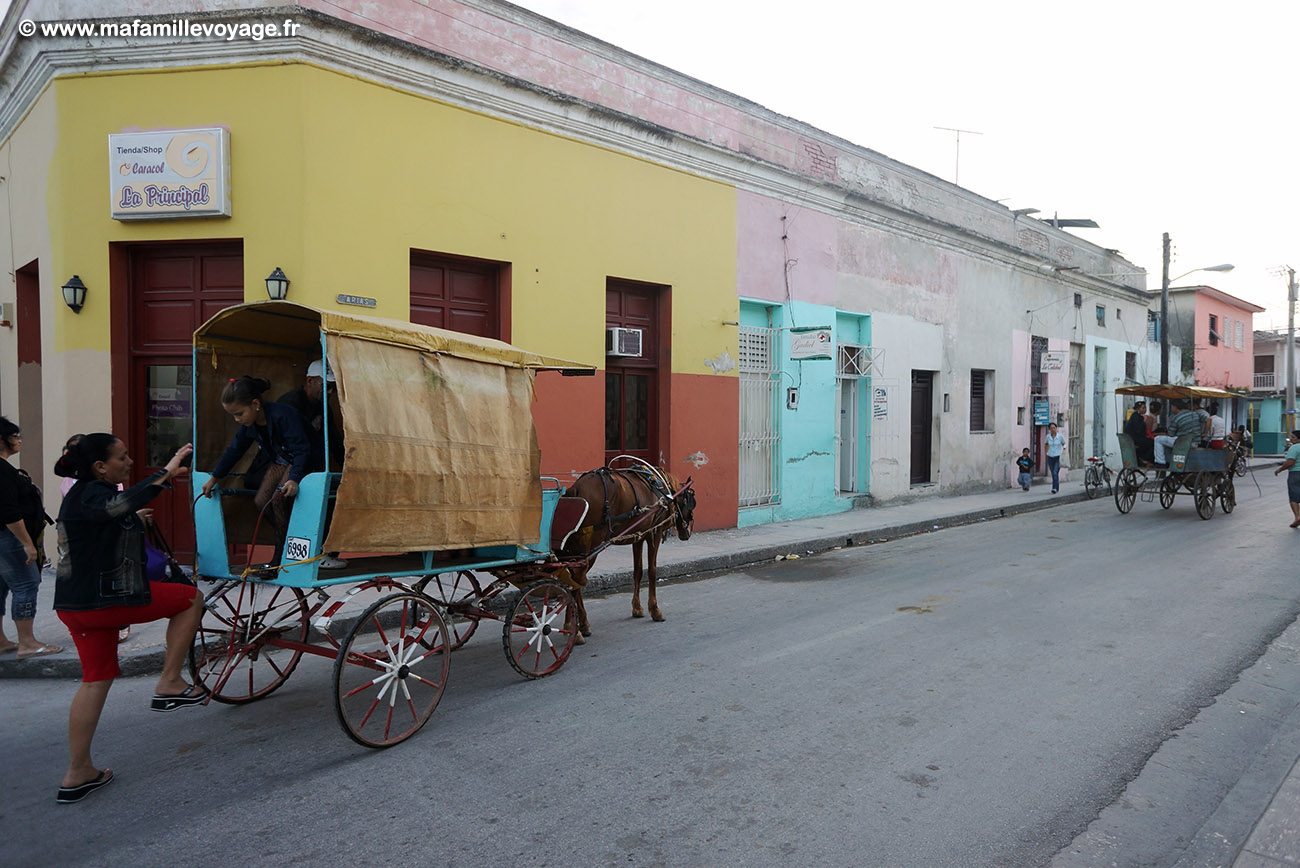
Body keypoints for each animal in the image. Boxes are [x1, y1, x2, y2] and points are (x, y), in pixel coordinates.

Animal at [556, 459, 696, 636]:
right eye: (690, 502)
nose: (687, 533)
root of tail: (576, 489)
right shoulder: (654, 533)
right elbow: (652, 571)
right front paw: (655, 610)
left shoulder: (638, 536)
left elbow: (638, 571)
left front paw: (637, 608)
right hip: (592, 544)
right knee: (574, 579)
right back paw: (575, 627)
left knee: (570, 577)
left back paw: (576, 624)